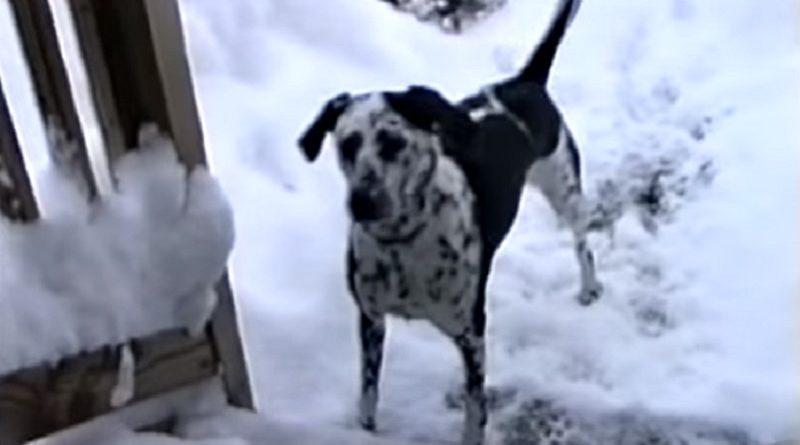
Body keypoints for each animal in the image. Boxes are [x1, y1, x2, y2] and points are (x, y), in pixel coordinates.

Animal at [296, 1, 596, 442]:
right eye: (347, 145)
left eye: (393, 142)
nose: (363, 203)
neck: (403, 241)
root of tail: (523, 82)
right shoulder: (370, 318)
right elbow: (369, 393)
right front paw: (365, 429)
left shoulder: (471, 334)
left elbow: (475, 408)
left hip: (565, 188)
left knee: (582, 242)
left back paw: (590, 286)